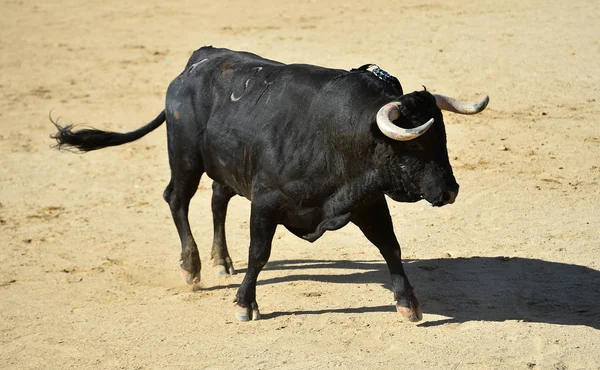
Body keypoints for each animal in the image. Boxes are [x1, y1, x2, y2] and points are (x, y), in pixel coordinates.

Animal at [52, 46, 488, 322]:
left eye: (442, 138)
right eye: (415, 145)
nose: (450, 191)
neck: (335, 134)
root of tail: (196, 62)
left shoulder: (366, 201)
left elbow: (390, 247)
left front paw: (407, 303)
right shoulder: (265, 203)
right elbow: (259, 253)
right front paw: (244, 305)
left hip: (226, 167)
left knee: (218, 199)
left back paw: (221, 261)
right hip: (185, 158)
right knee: (177, 199)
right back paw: (192, 268)